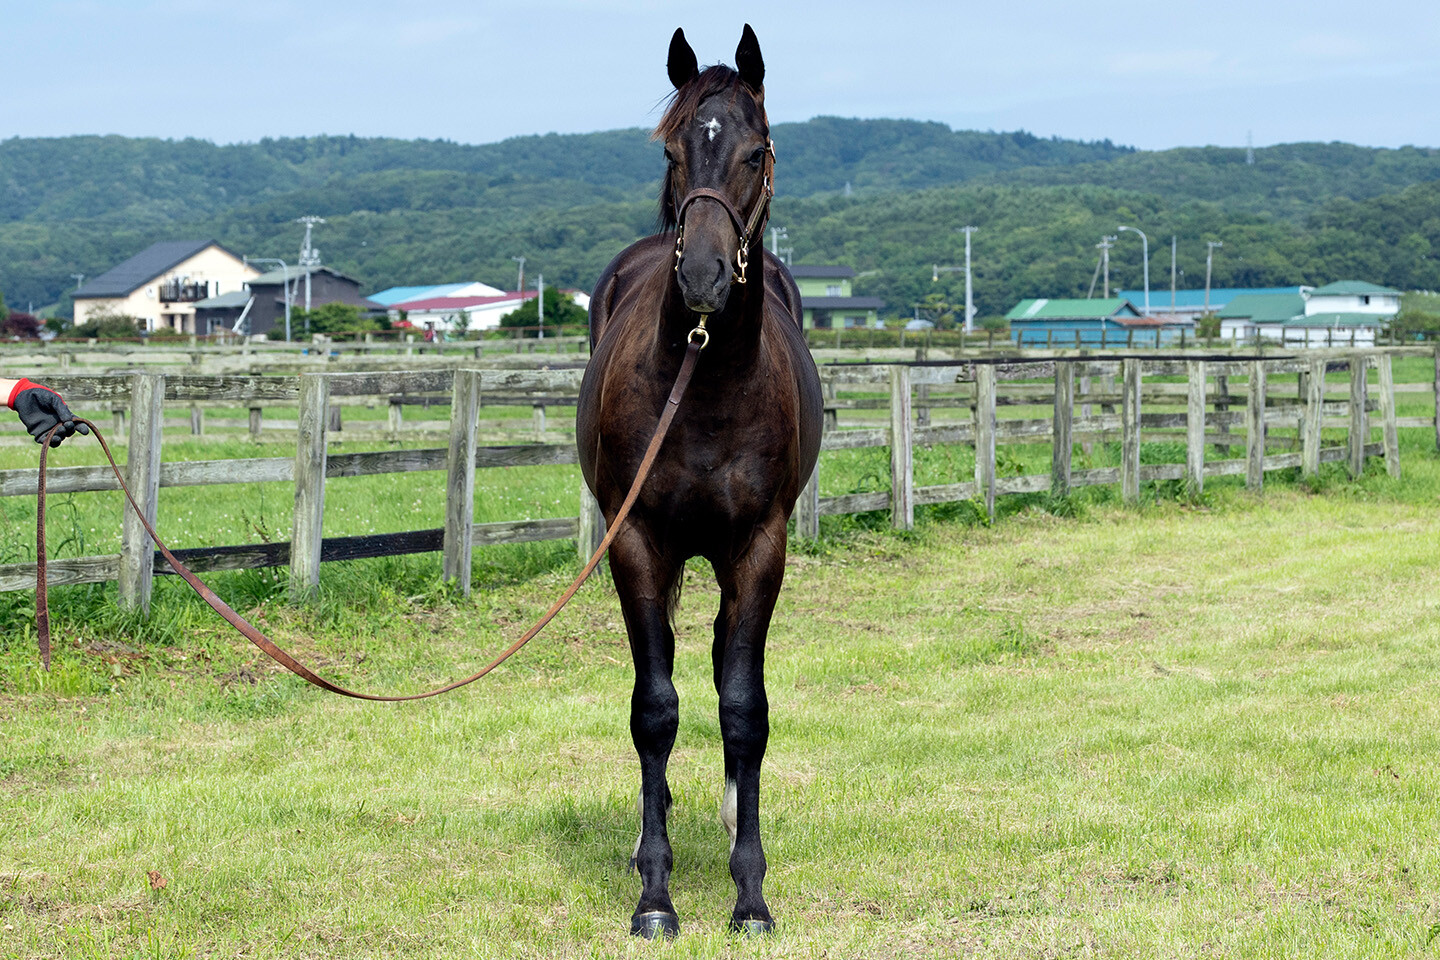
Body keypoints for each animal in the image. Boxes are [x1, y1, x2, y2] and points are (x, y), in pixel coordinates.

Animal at [575, 24, 823, 940]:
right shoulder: (639, 545)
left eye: (757, 151)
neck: (709, 386)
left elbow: (744, 708)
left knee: (720, 664)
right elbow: (655, 709)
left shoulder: (760, 548)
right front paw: (655, 892)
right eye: (673, 150)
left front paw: (750, 894)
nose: (706, 279)